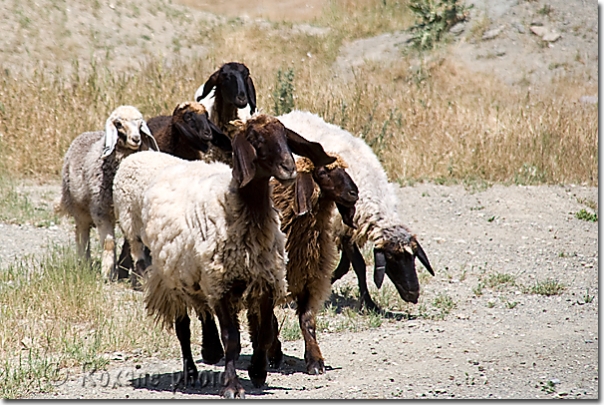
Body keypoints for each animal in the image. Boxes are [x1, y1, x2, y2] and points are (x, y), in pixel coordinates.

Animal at [56, 104, 158, 280]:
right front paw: (108, 272)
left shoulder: (127, 212)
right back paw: (84, 262)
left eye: (140, 124)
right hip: (78, 206)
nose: (136, 139)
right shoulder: (100, 210)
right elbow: (109, 243)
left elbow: (131, 241)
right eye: (118, 124)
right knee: (81, 233)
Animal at [113, 113, 336, 398]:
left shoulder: (264, 281)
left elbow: (265, 332)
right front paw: (232, 385)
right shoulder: (220, 285)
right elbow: (231, 338)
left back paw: (210, 351)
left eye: (285, 136)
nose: (289, 168)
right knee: (183, 327)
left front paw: (257, 371)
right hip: (172, 279)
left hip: (194, 276)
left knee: (203, 313)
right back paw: (190, 373)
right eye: (255, 139)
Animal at [278, 109, 434, 312]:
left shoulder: (349, 229)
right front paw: (369, 302)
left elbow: (345, 266)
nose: (413, 295)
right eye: (391, 258)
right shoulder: (339, 226)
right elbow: (359, 265)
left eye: (413, 257)